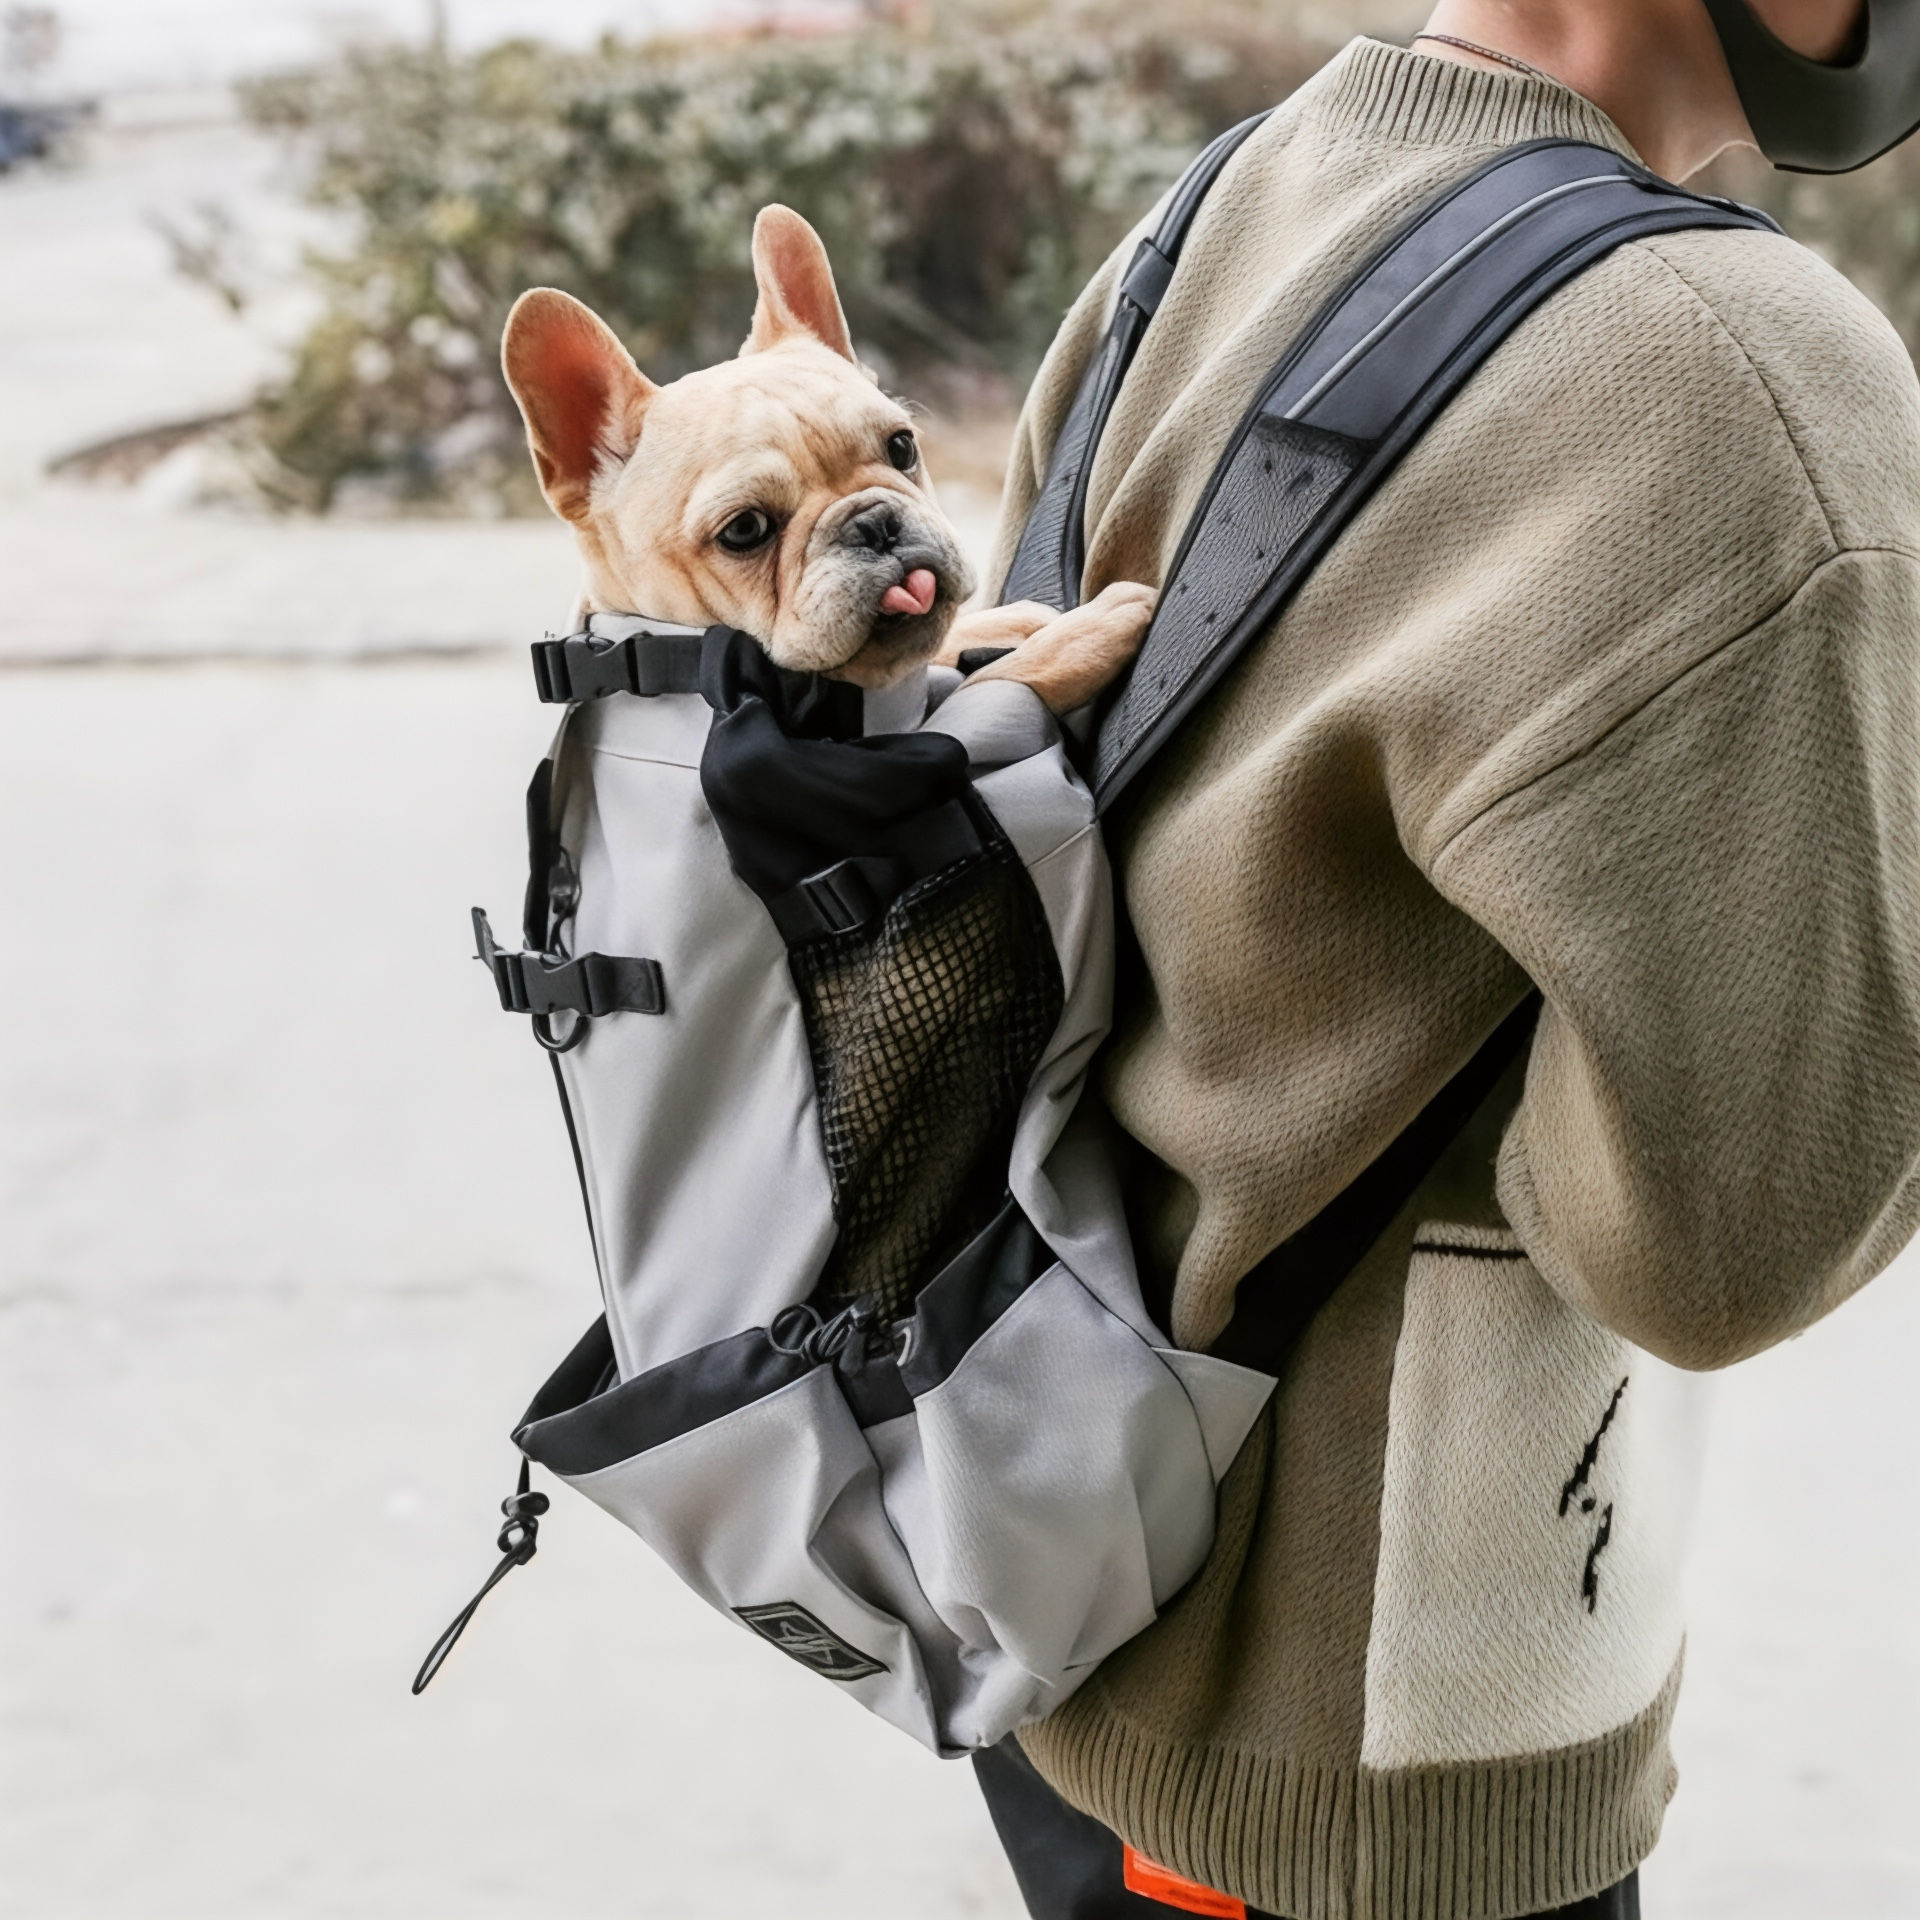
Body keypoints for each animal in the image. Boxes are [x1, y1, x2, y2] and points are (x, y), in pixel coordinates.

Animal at [503, 204, 1144, 714]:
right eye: (744, 530)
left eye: (902, 447)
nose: (876, 523)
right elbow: (997, 682)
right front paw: (1096, 627)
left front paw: (1004, 622)